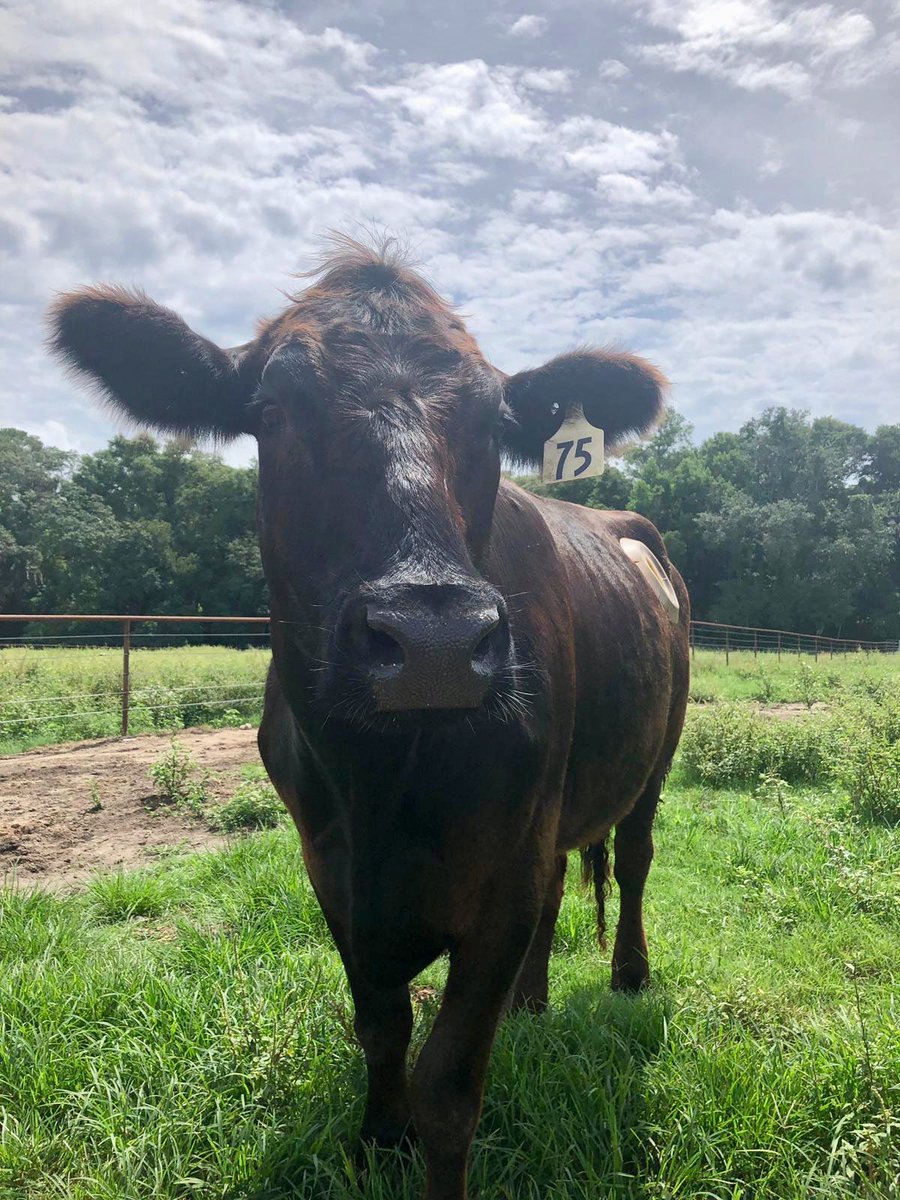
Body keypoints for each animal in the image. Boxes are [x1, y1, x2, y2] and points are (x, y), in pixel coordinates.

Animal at [49, 236, 690, 1200]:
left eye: (495, 424)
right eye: (271, 410)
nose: (433, 640)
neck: (384, 781)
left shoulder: (503, 871)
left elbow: (450, 1082)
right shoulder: (331, 865)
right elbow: (381, 1029)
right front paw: (378, 1138)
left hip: (659, 750)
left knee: (637, 856)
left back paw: (628, 977)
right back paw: (534, 1003)